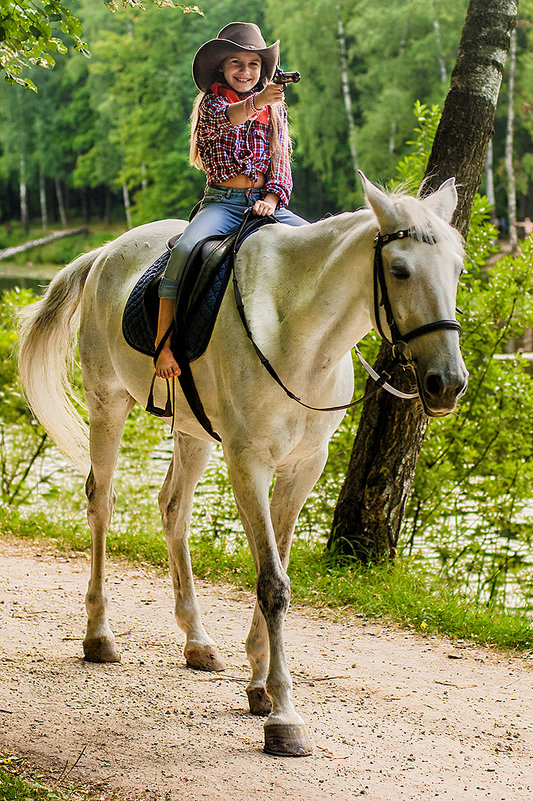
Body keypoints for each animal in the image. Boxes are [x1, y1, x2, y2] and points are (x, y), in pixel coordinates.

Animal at [16, 175, 466, 756]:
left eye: (457, 268)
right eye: (400, 270)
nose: (447, 383)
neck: (301, 331)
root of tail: (104, 253)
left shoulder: (303, 466)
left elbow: (277, 567)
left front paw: (260, 688)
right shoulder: (248, 462)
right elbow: (273, 583)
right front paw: (284, 717)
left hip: (192, 433)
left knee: (173, 509)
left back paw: (197, 641)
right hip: (107, 403)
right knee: (102, 502)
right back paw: (99, 634)